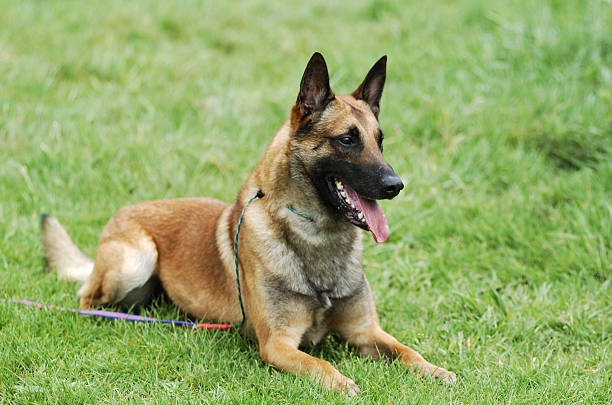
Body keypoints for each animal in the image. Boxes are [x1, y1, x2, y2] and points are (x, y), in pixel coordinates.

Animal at [41, 52, 454, 394]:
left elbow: (407, 351)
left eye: (380, 141)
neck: (318, 236)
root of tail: (122, 213)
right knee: (85, 298)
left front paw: (435, 370)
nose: (395, 185)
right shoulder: (278, 344)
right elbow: (319, 365)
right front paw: (342, 383)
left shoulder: (366, 331)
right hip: (134, 261)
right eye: (347, 140)